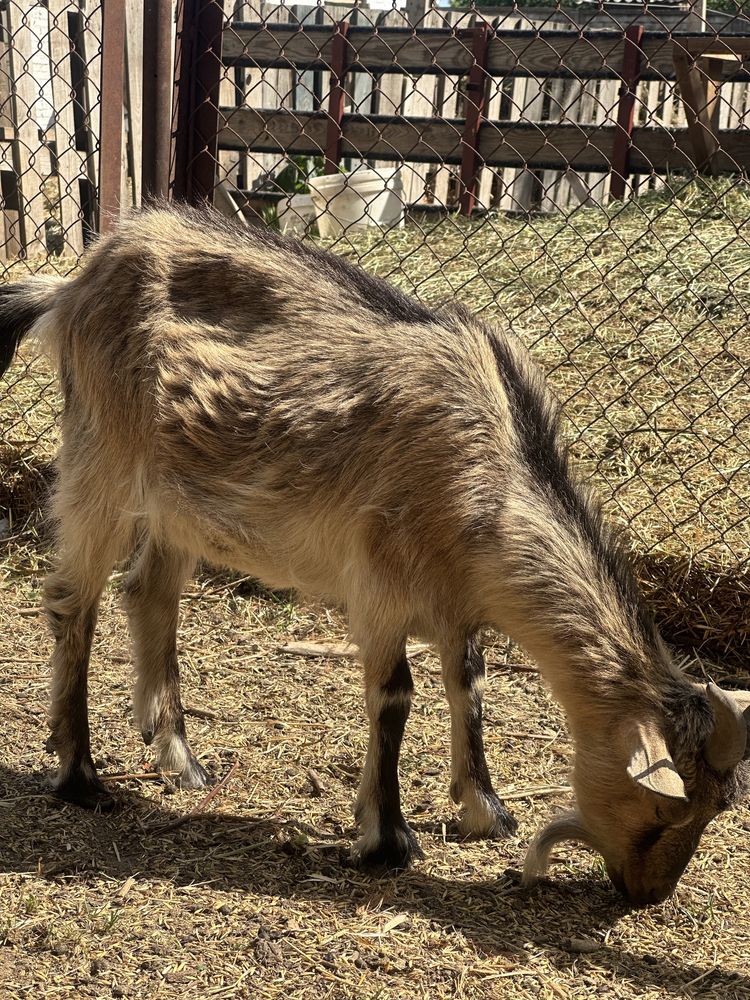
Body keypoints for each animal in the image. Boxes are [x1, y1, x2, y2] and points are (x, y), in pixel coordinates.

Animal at [0, 205, 748, 908]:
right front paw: (387, 838)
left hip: (178, 503)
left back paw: (182, 761)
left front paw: (486, 810)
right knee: (73, 601)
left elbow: (469, 682)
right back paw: (80, 774)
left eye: (718, 808)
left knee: (149, 592)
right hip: (103, 453)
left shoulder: (455, 600)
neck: (486, 467)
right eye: (665, 809)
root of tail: (74, 284)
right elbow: (395, 695)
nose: (647, 892)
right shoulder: (382, 581)